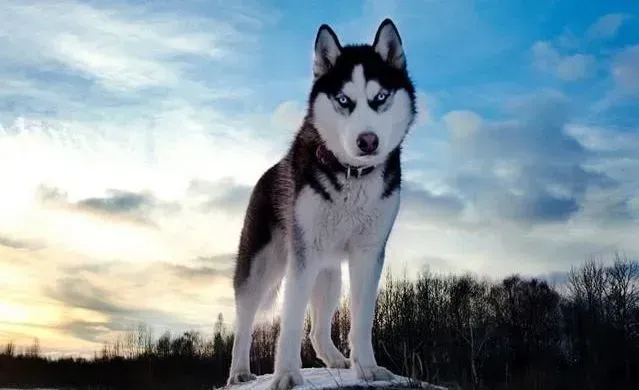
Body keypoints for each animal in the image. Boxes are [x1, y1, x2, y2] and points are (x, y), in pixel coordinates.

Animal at [228, 19, 418, 390]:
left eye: (380, 98)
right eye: (344, 99)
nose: (368, 141)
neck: (352, 175)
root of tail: (266, 174)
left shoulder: (368, 253)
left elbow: (362, 319)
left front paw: (368, 368)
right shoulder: (303, 256)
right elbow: (289, 322)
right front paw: (287, 374)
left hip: (329, 275)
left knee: (317, 330)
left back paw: (335, 359)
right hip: (261, 268)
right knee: (244, 322)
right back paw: (239, 372)